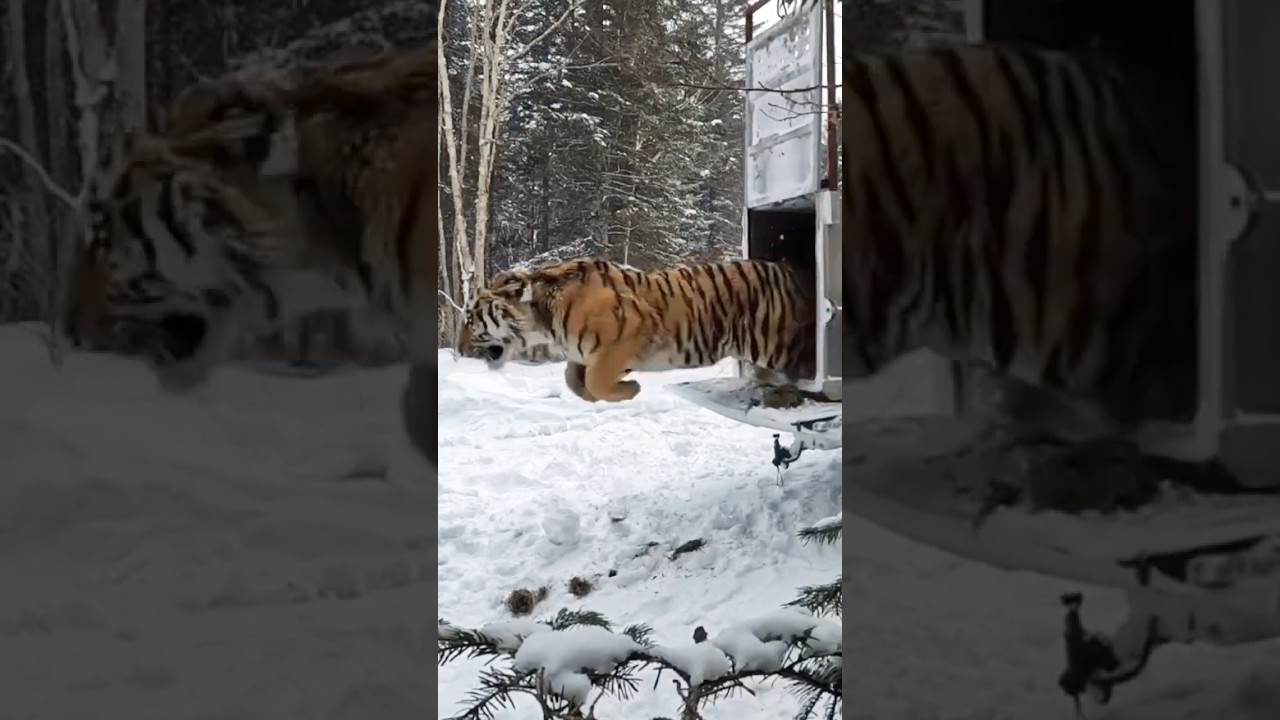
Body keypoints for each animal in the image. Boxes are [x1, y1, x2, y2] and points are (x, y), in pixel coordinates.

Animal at [459, 258, 816, 403]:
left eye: (471, 318)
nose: (460, 350)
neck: (544, 322)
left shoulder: (630, 334)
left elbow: (595, 378)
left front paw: (630, 389)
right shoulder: (582, 352)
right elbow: (572, 378)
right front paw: (594, 395)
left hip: (781, 343)